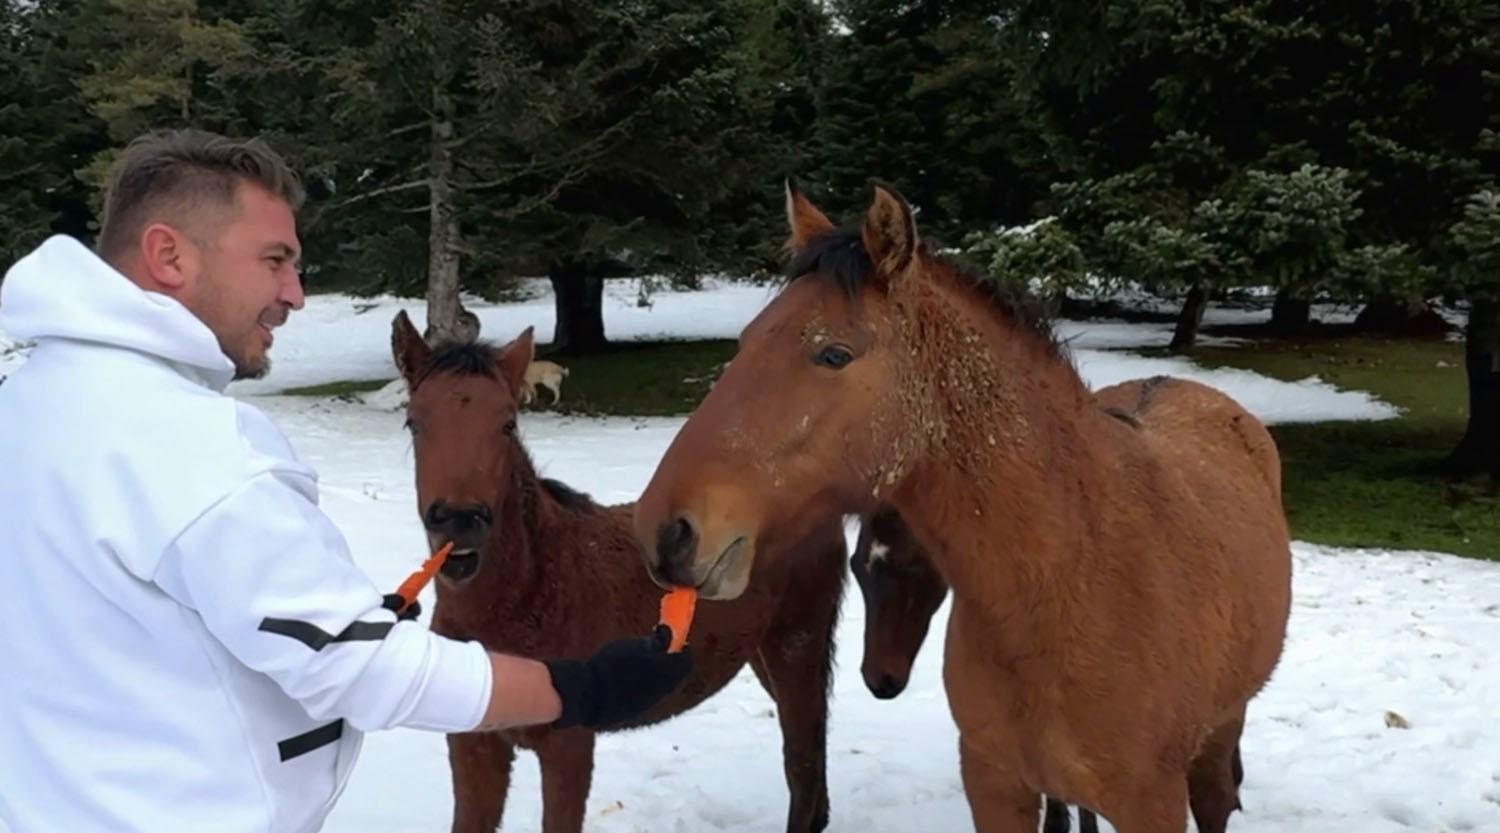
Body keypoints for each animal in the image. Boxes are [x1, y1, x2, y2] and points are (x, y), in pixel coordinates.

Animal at [393, 312, 852, 833]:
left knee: (803, 766)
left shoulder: (569, 747)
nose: (460, 520)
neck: (530, 593)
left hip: (797, 644)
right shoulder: (473, 744)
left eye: (507, 424)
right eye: (414, 422)